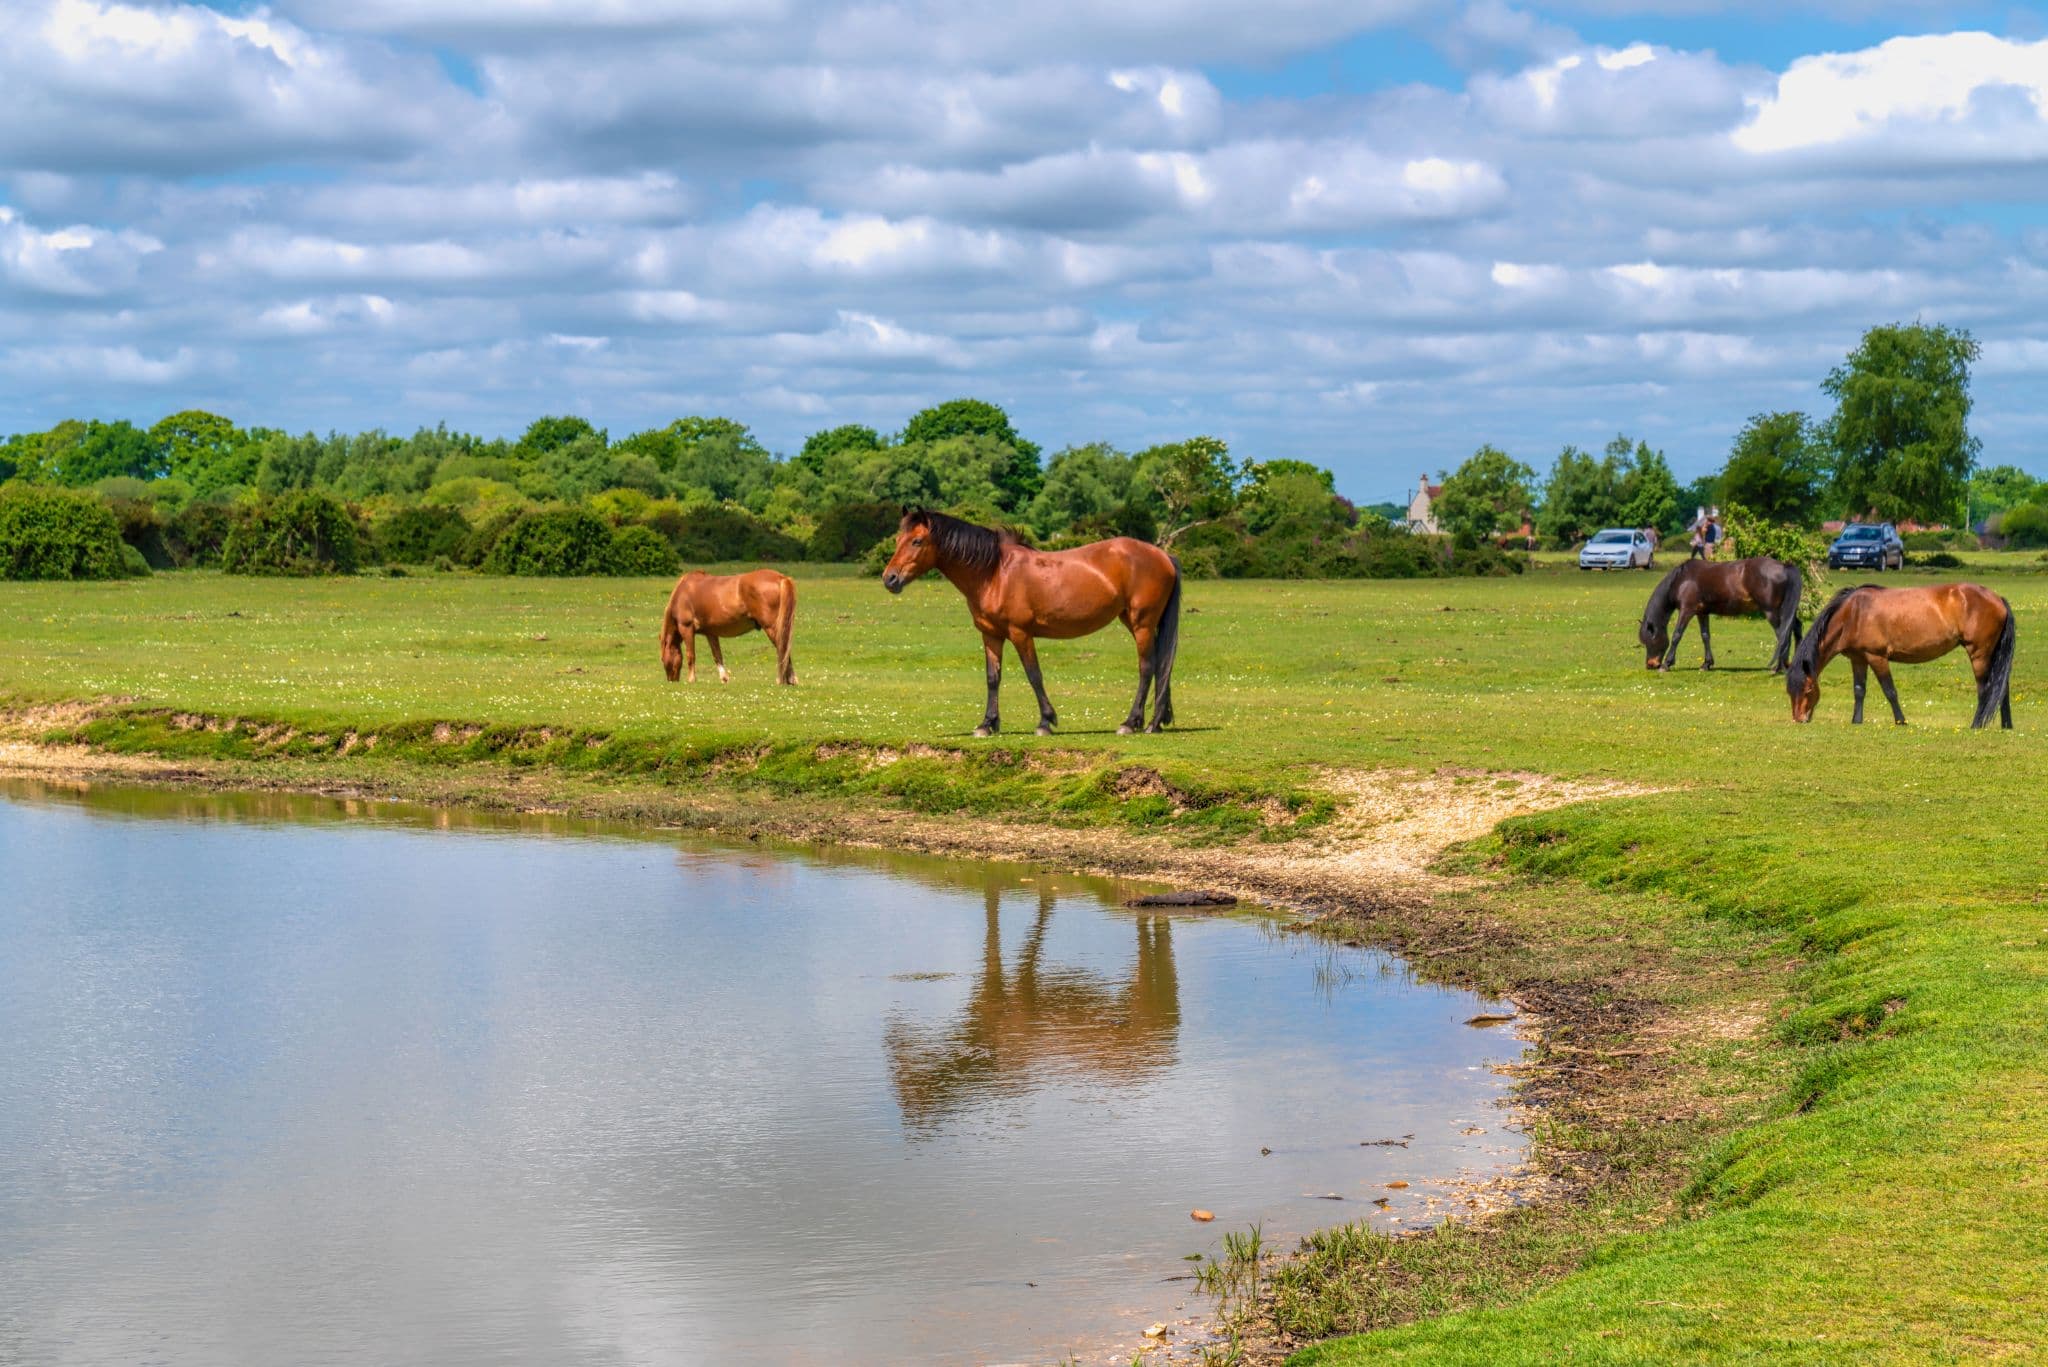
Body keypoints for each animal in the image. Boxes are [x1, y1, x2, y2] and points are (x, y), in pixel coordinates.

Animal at [659, 569, 794, 684]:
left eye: (663, 659)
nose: (672, 681)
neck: (684, 591)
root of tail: (781, 578)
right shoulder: (711, 633)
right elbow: (717, 656)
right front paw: (724, 679)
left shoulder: (686, 628)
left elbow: (690, 655)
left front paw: (691, 679)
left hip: (771, 628)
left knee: (782, 648)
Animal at [880, 506, 1187, 737]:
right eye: (896, 541)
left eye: (917, 541)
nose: (890, 579)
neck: (994, 573)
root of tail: (1163, 555)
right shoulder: (991, 635)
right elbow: (993, 678)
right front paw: (987, 724)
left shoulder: (1020, 634)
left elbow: (1034, 674)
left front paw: (1045, 722)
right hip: (1139, 623)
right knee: (1161, 665)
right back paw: (1155, 722)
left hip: (1142, 624)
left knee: (1147, 668)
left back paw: (1131, 723)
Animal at [1638, 557, 1802, 676]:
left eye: (1649, 641)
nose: (1651, 664)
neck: (1682, 579)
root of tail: (1784, 566)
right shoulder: (1702, 613)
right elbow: (1705, 636)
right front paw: (1706, 664)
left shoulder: (1687, 610)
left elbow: (1676, 635)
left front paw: (1667, 664)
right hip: (1785, 611)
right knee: (1795, 628)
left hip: (1771, 612)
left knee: (1782, 635)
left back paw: (1778, 668)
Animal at [1794, 577, 2015, 725]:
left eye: (1808, 689)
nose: (1799, 719)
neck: (1853, 613)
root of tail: (1998, 599)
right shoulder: (1858, 659)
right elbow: (1859, 690)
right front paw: (1856, 721)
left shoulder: (1877, 657)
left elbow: (1890, 691)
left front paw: (1900, 721)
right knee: (2001, 688)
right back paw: (2006, 725)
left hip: (1979, 654)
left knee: (1986, 689)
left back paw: (1977, 724)